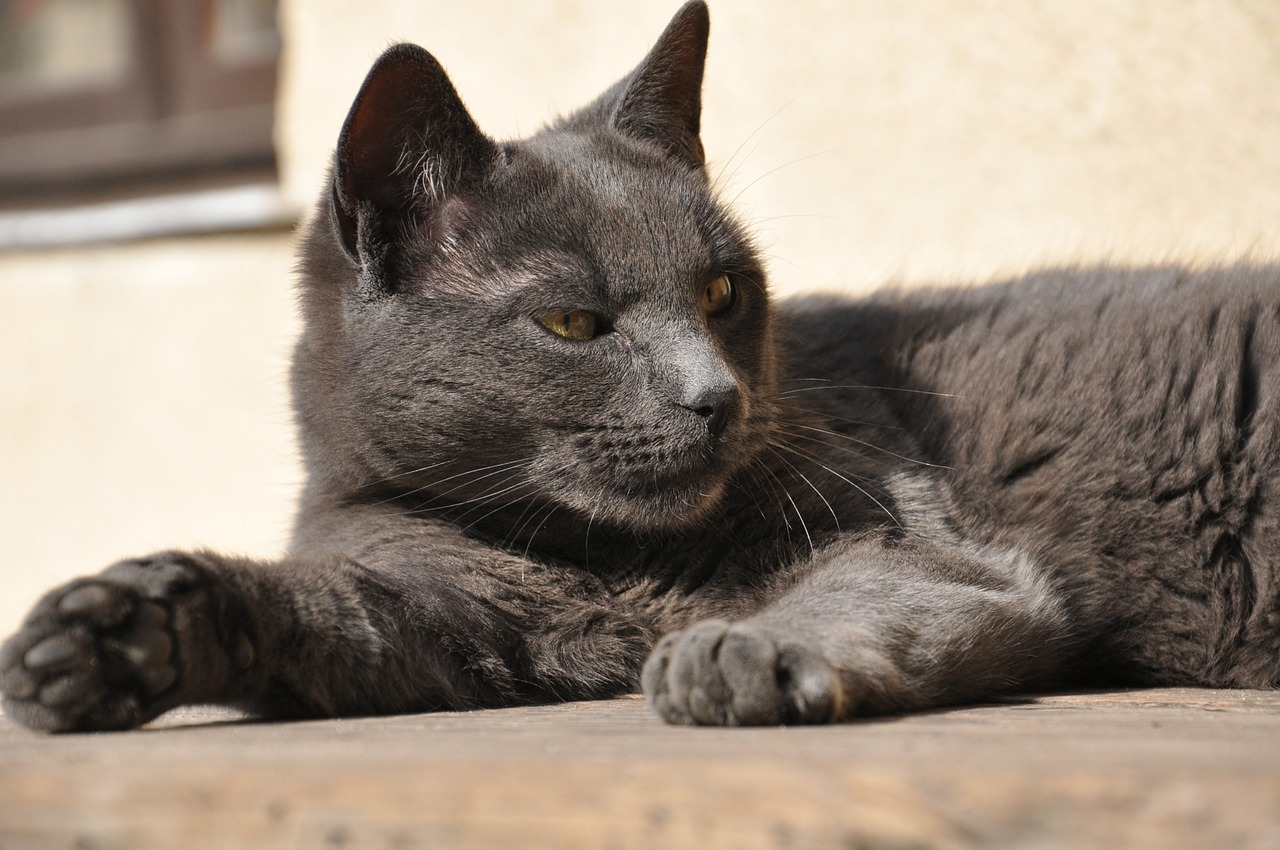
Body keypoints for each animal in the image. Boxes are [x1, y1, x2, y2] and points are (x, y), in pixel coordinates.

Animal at [2, 1, 1280, 732]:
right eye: (572, 323)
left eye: (722, 293)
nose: (714, 396)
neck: (606, 563)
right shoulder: (444, 613)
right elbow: (330, 615)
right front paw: (119, 632)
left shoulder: (927, 545)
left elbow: (866, 589)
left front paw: (742, 649)